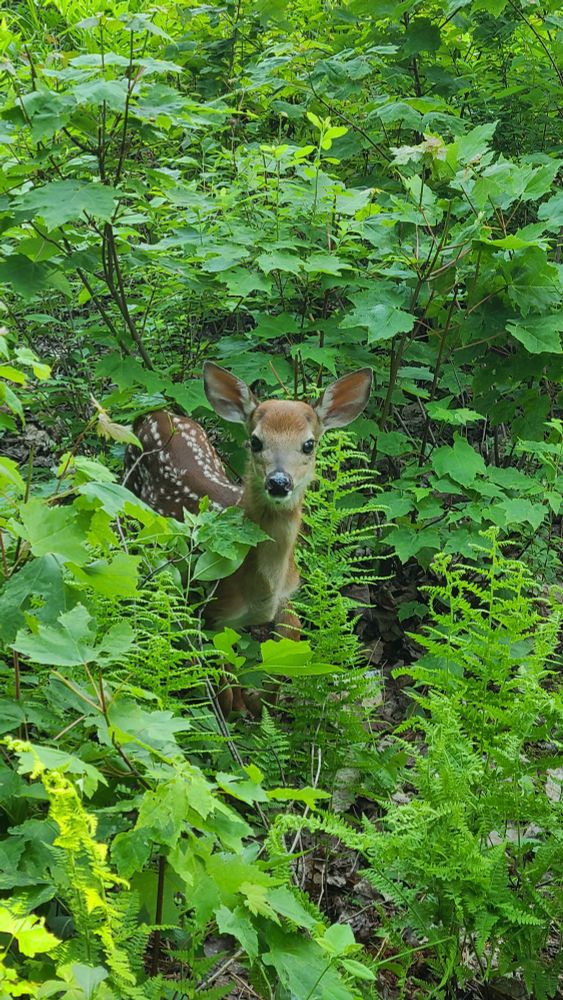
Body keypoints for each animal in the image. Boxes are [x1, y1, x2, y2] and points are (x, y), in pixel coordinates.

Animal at [124, 362, 372, 713]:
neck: (264, 586)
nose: (279, 482)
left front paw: (262, 704)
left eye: (308, 444)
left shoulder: (288, 597)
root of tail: (153, 413)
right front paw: (239, 710)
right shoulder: (216, 609)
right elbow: (225, 678)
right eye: (255, 441)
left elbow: (287, 651)